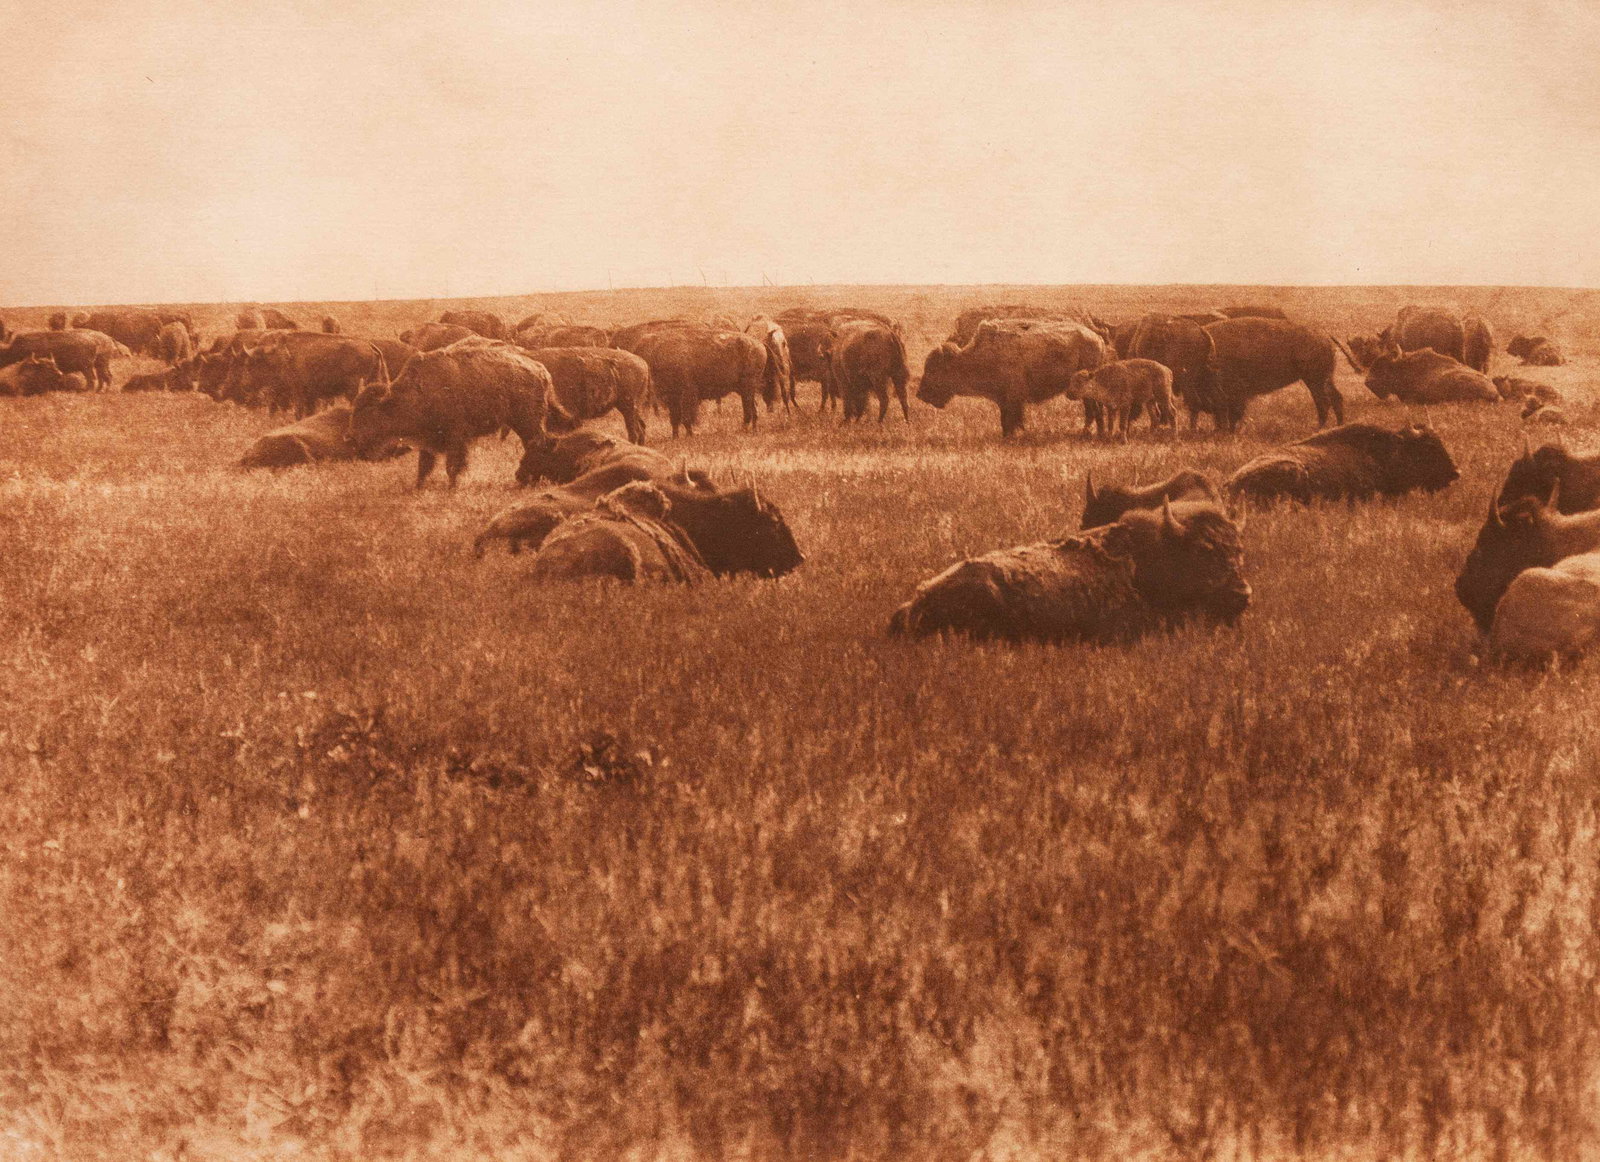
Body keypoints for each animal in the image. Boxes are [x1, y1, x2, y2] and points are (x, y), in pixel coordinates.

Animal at [350, 341, 575, 487]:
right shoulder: (429, 442)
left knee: (539, 444)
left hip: (527, 423)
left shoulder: (456, 438)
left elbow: (452, 465)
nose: (350, 437)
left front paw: (452, 487)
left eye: (368, 410)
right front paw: (418, 487)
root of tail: (542, 371)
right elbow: (424, 466)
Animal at [919, 318, 1108, 438]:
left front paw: (1013, 435)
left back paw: (1092, 433)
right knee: (1093, 410)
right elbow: (1005, 418)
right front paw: (1006, 435)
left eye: (935, 369)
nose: (920, 394)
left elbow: (1012, 418)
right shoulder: (1003, 399)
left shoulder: (1013, 397)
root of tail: (1098, 338)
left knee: (1093, 410)